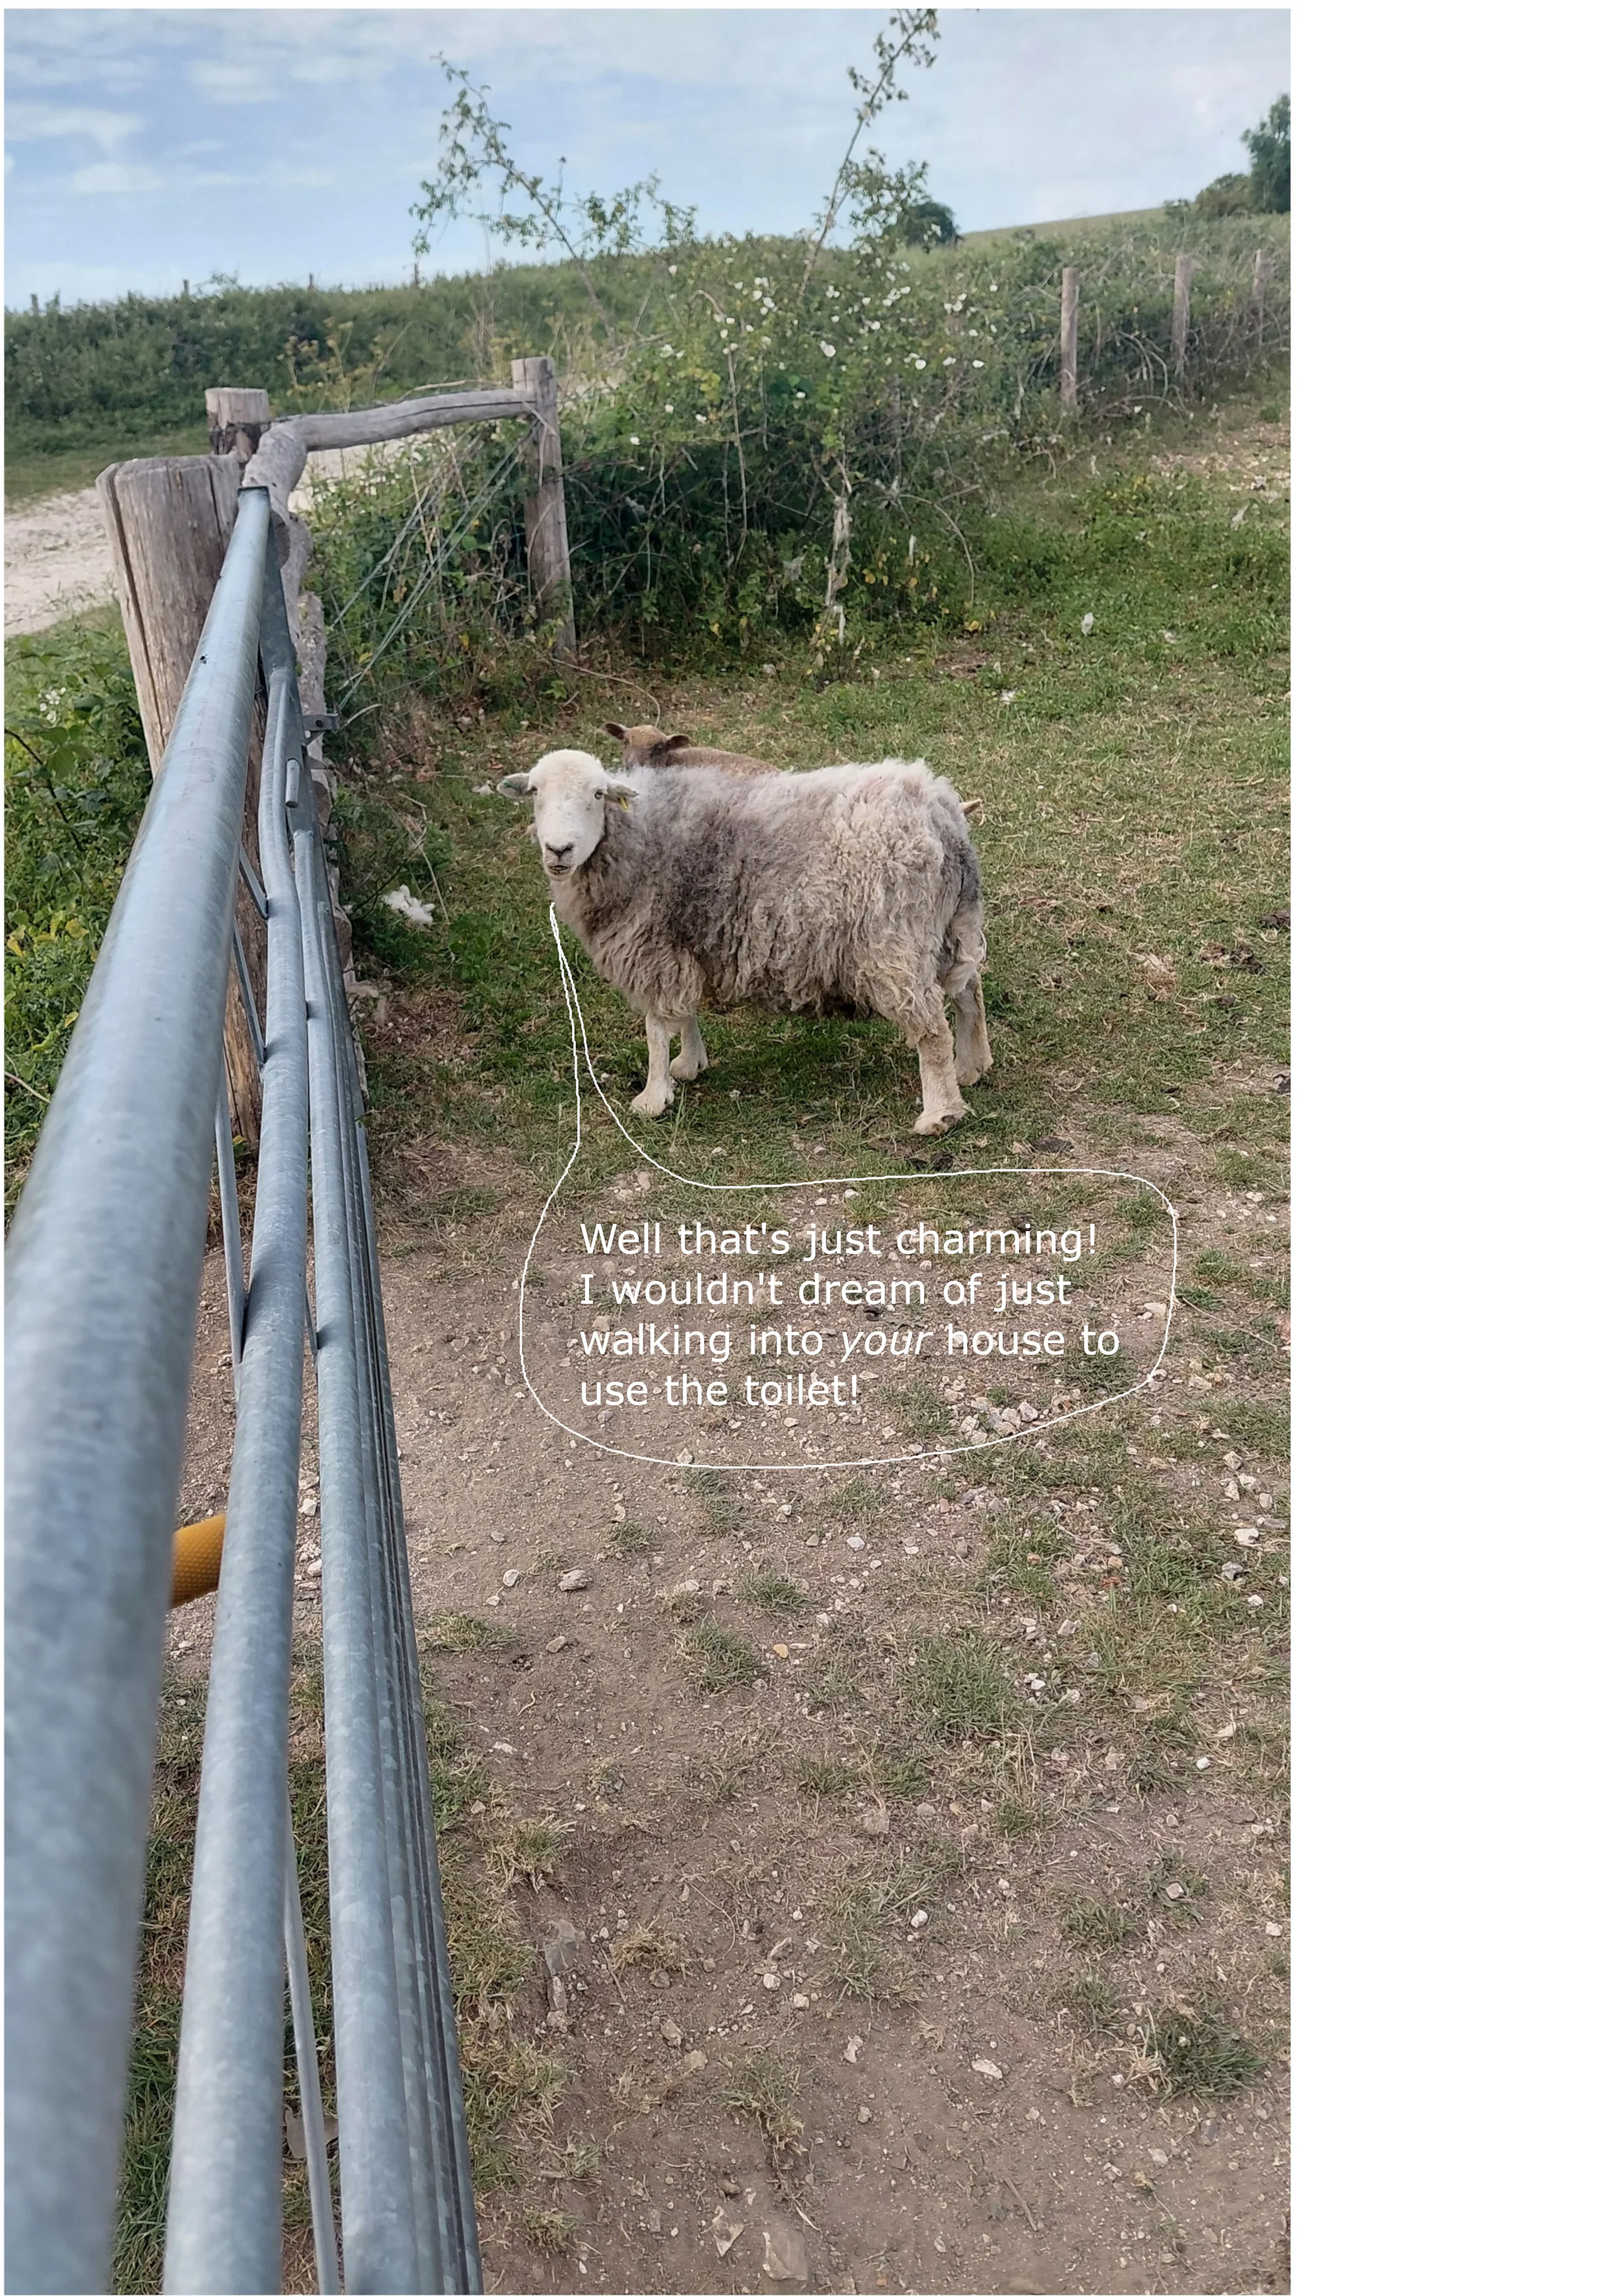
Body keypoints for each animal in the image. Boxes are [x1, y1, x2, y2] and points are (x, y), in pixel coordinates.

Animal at [500, 748, 992, 1134]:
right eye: (535, 793)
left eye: (598, 795)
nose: (559, 850)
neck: (641, 835)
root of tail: (941, 814)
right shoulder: (685, 942)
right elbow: (684, 1013)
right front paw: (690, 1064)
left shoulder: (652, 948)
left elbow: (656, 1028)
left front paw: (654, 1097)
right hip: (950, 927)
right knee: (970, 992)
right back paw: (971, 1067)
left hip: (893, 942)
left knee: (932, 1029)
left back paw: (940, 1114)